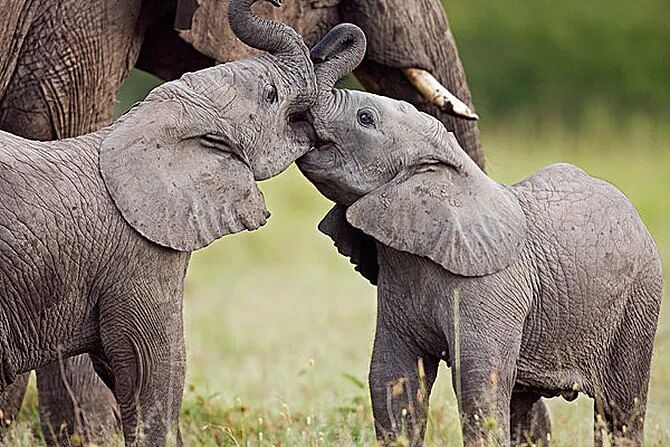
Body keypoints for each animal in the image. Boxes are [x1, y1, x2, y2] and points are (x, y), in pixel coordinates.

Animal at [297, 24, 663, 447]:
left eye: (365, 118)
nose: (329, 40)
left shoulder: (491, 288)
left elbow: (478, 384)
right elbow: (392, 377)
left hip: (639, 301)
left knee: (619, 407)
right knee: (522, 401)